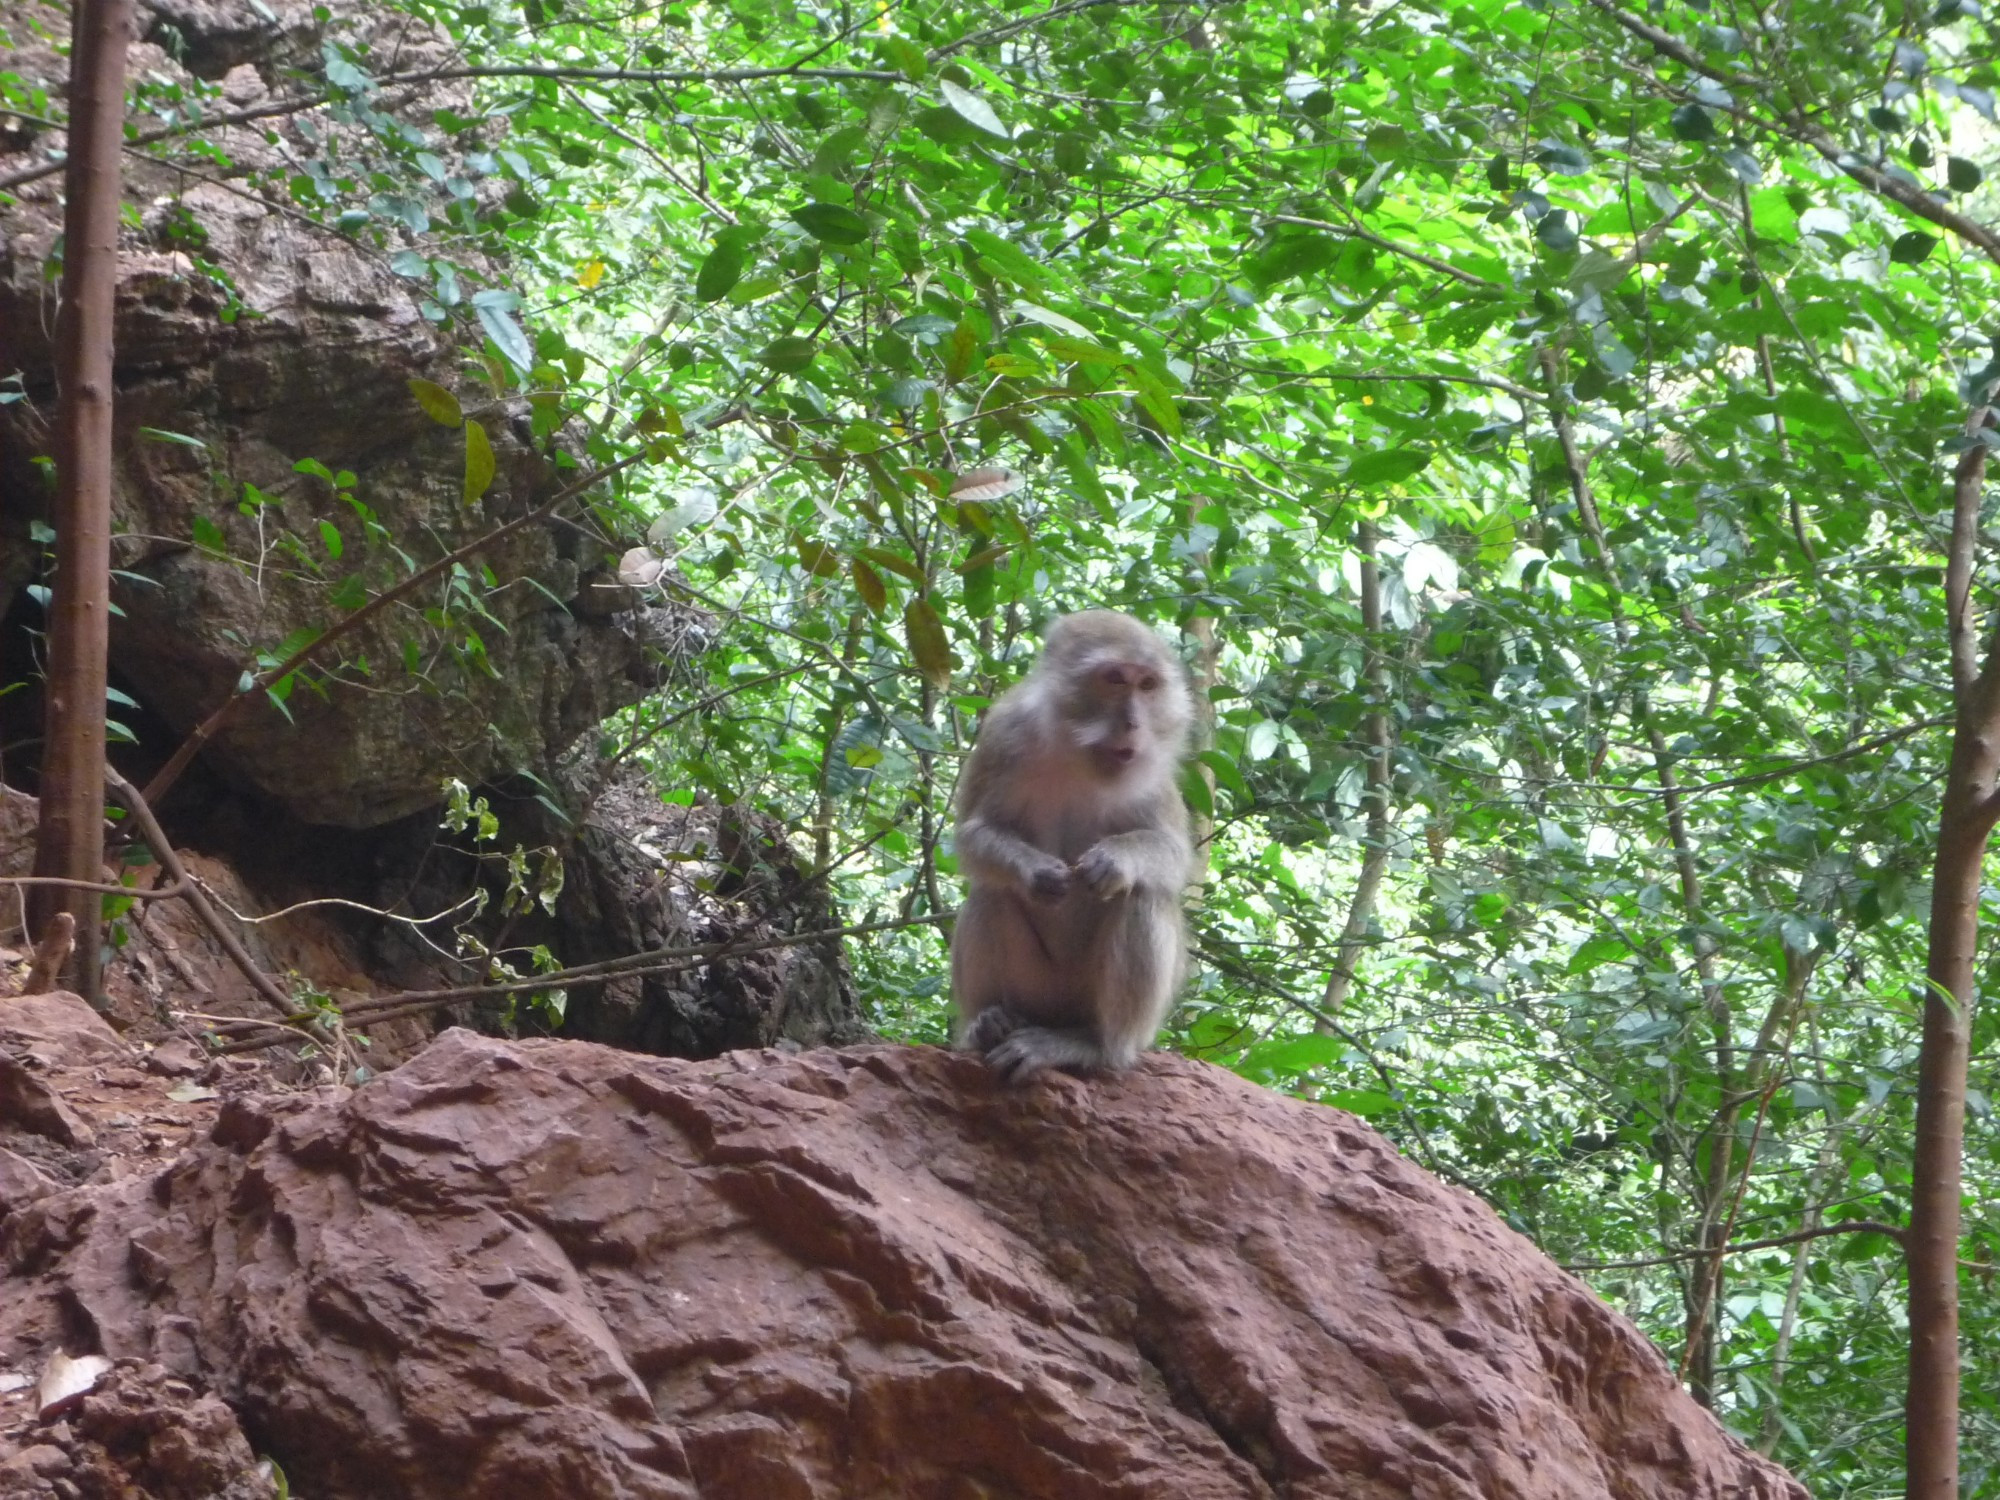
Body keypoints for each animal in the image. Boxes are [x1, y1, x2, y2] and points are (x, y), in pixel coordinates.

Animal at [948, 604, 1192, 1088]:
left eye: (1148, 685)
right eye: (1115, 678)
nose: (1134, 723)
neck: (1078, 753)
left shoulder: (1154, 769)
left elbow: (1174, 855)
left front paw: (1116, 859)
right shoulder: (1004, 732)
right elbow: (973, 833)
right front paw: (1034, 871)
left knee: (1142, 896)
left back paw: (1096, 1046)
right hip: (1038, 990)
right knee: (990, 892)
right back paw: (989, 1022)